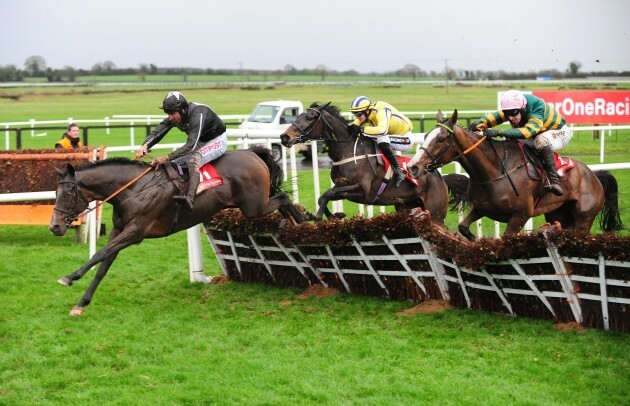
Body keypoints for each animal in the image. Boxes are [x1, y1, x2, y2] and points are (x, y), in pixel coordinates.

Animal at [50, 146, 306, 314]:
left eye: (68, 193)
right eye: (55, 192)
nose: (54, 226)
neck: (134, 189)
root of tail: (252, 153)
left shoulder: (135, 232)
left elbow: (100, 254)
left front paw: (69, 277)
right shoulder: (119, 230)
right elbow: (103, 266)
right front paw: (81, 304)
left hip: (253, 206)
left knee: (283, 198)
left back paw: (300, 224)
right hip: (254, 203)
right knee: (282, 200)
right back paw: (298, 223)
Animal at [278, 100, 466, 224]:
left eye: (310, 117)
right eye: (299, 115)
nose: (285, 137)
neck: (348, 151)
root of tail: (440, 177)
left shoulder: (363, 190)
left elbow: (327, 194)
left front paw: (317, 217)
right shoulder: (342, 187)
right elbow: (323, 196)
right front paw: (332, 215)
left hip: (435, 214)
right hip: (407, 206)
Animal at [408, 109, 624, 239]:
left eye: (441, 139)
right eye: (425, 136)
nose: (413, 167)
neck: (495, 171)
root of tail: (594, 175)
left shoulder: (520, 216)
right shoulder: (481, 207)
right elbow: (463, 227)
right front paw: (474, 239)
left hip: (583, 218)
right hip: (558, 213)